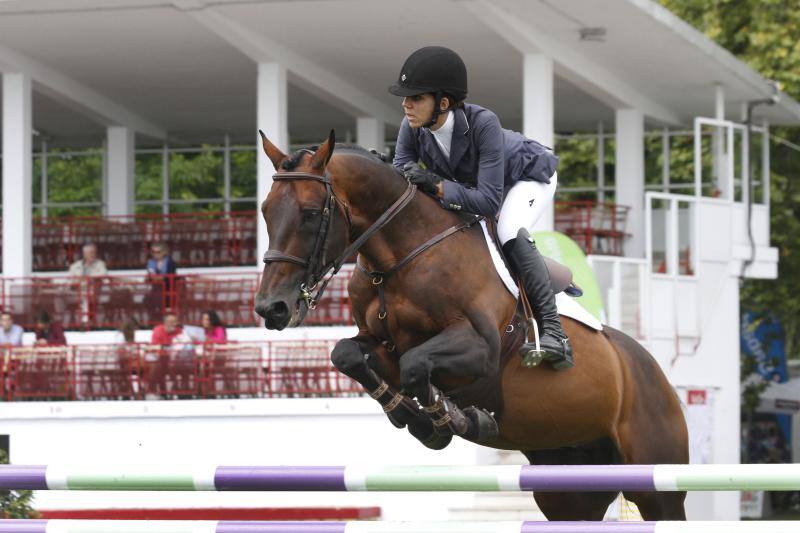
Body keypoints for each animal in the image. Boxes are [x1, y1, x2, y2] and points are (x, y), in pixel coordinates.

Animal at [255, 130, 688, 520]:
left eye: (311, 214)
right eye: (265, 211)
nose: (271, 308)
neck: (400, 258)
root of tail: (654, 369)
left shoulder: (481, 349)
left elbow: (416, 365)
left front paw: (453, 420)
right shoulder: (376, 342)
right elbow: (348, 354)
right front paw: (412, 416)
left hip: (659, 486)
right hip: (569, 486)